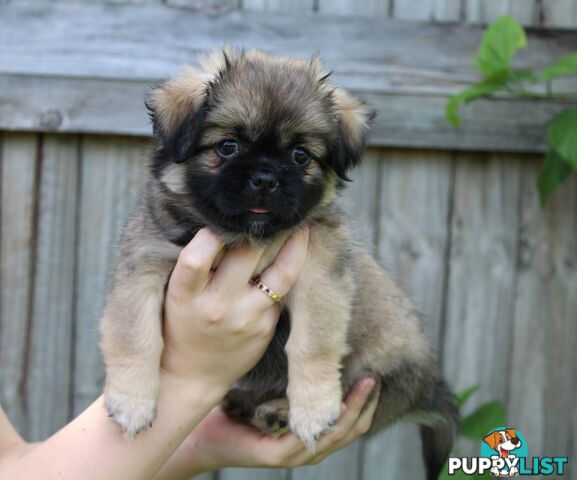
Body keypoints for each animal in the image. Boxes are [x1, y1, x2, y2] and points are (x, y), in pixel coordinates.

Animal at [100, 48, 460, 480]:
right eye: (228, 146)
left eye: (300, 155)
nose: (266, 177)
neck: (240, 235)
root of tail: (426, 387)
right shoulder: (143, 266)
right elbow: (134, 337)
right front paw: (132, 401)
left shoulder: (319, 274)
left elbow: (313, 343)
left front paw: (314, 409)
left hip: (377, 364)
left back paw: (280, 412)